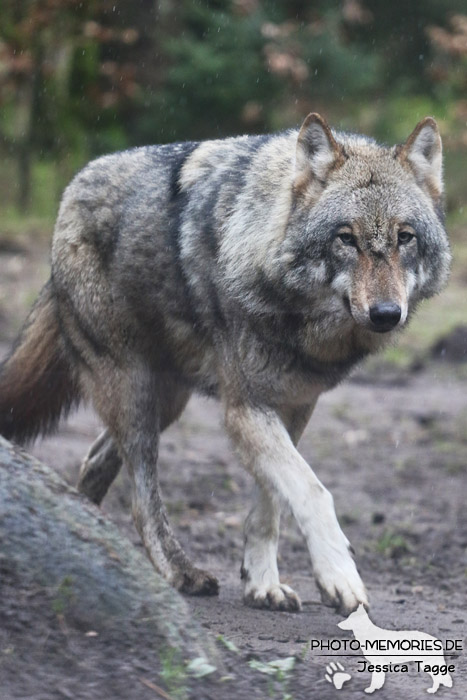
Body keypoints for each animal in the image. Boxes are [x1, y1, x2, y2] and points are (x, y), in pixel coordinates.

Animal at [0, 113, 454, 612]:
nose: (386, 314)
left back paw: (91, 527)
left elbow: (271, 501)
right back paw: (179, 571)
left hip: (166, 402)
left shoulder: (294, 406)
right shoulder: (244, 408)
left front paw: (261, 584)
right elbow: (312, 491)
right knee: (140, 494)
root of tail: (73, 188)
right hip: (133, 393)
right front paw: (339, 577)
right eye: (346, 239)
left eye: (404, 238)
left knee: (97, 458)